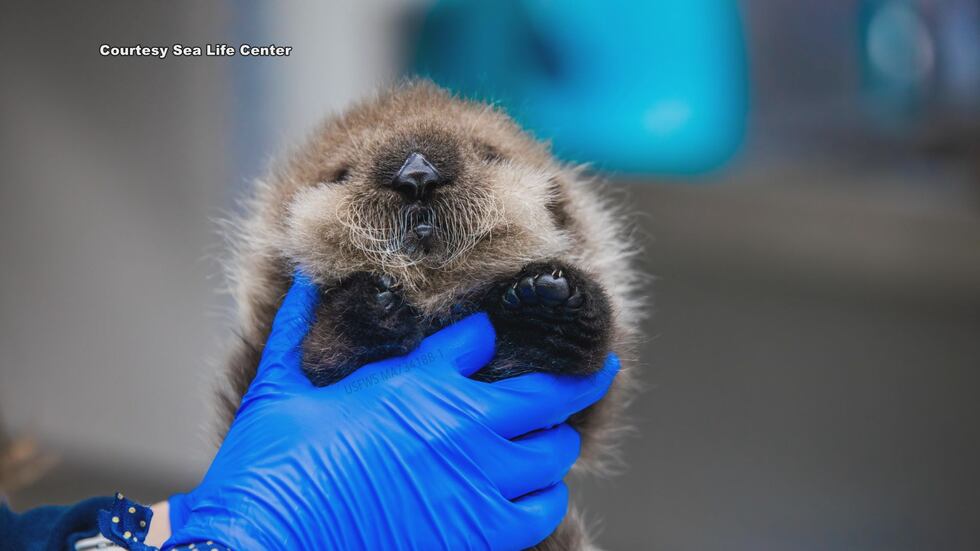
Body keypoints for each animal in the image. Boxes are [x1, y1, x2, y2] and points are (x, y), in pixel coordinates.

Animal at [218, 81, 644, 550]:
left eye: (488, 152)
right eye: (342, 172)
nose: (417, 173)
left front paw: (549, 301)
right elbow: (324, 359)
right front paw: (371, 304)